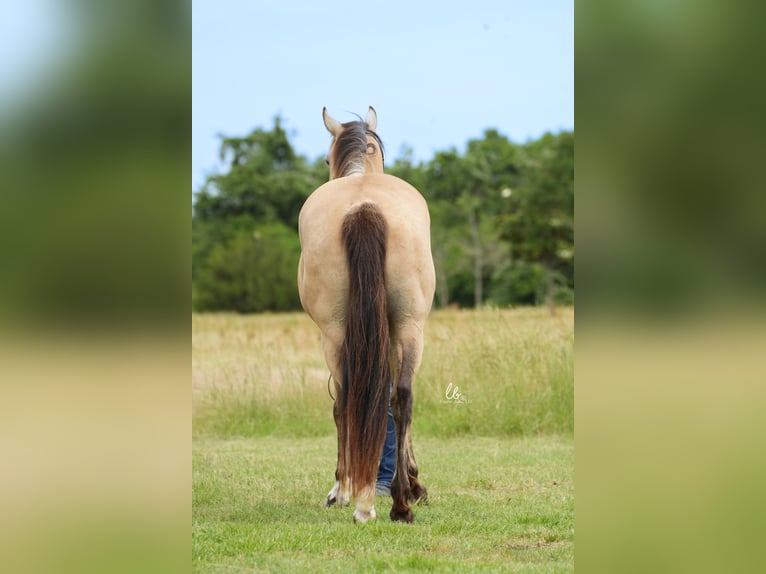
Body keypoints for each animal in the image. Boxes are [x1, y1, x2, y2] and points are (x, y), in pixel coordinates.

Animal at [296, 108, 436, 528]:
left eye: (325, 160)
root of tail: (364, 207)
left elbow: (342, 405)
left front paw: (339, 489)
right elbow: (391, 401)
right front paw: (412, 484)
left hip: (335, 334)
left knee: (348, 401)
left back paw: (360, 499)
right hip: (409, 326)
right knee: (401, 397)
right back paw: (400, 502)